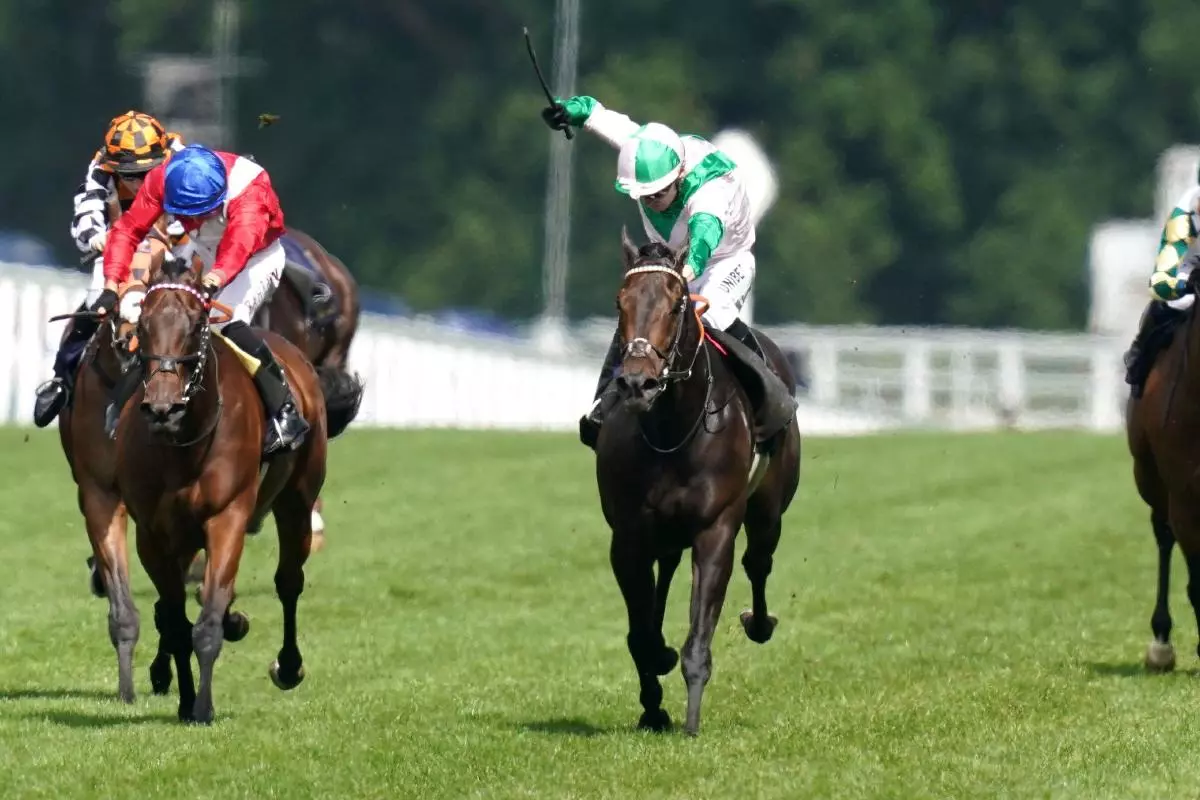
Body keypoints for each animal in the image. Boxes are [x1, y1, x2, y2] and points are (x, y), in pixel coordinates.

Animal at [114, 260, 360, 724]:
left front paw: (203, 707)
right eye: (143, 323)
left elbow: (206, 623)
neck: (184, 445)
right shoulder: (153, 535)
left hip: (297, 501)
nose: (162, 408)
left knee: (288, 581)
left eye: (196, 325)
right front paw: (186, 699)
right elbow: (176, 619)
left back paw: (288, 665)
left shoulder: (226, 517)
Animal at [595, 227, 801, 734]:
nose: (638, 384)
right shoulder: (627, 534)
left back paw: (759, 623)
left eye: (675, 305)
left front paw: (690, 719)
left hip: (769, 510)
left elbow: (699, 634)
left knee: (758, 561)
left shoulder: (716, 529)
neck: (671, 428)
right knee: (666, 572)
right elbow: (640, 635)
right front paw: (654, 703)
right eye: (619, 303)